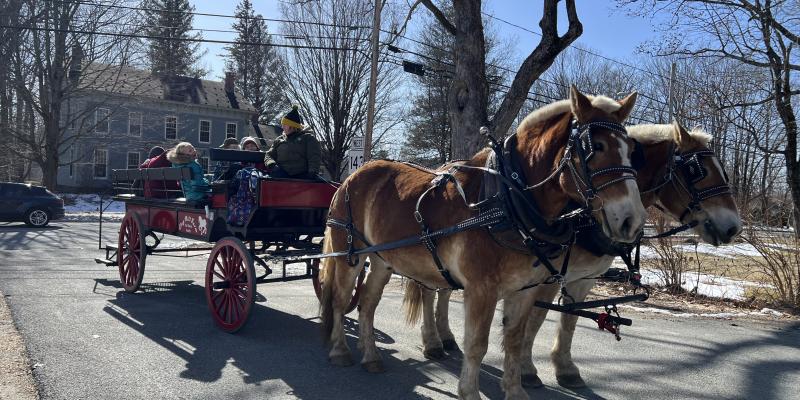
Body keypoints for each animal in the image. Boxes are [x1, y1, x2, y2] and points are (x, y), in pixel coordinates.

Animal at [320, 86, 648, 400]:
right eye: (597, 147)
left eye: (632, 150)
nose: (632, 220)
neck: (509, 199)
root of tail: (353, 176)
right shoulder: (481, 290)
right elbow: (477, 344)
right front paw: (469, 392)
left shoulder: (525, 290)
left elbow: (514, 340)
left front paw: (516, 391)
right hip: (349, 254)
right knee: (340, 298)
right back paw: (340, 350)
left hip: (381, 261)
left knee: (367, 304)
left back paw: (371, 356)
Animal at [401, 120, 742, 390]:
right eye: (696, 170)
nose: (733, 227)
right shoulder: (550, 276)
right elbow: (536, 320)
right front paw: (528, 370)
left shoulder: (584, 278)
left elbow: (568, 321)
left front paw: (564, 368)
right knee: (428, 291)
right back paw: (433, 342)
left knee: (444, 291)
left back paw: (446, 337)